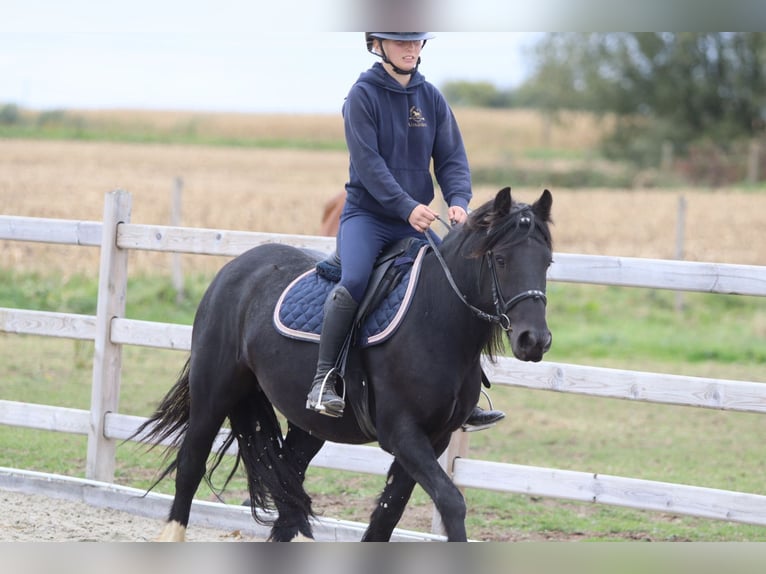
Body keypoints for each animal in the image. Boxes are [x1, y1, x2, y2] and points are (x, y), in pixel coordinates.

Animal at [132, 186, 554, 542]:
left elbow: (387, 513)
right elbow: (451, 502)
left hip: (309, 423)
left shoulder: (434, 438)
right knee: (192, 463)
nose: (534, 340)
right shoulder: (402, 433)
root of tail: (236, 268)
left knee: (287, 482)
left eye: (548, 262)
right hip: (213, 392)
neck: (435, 319)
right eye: (501, 260)